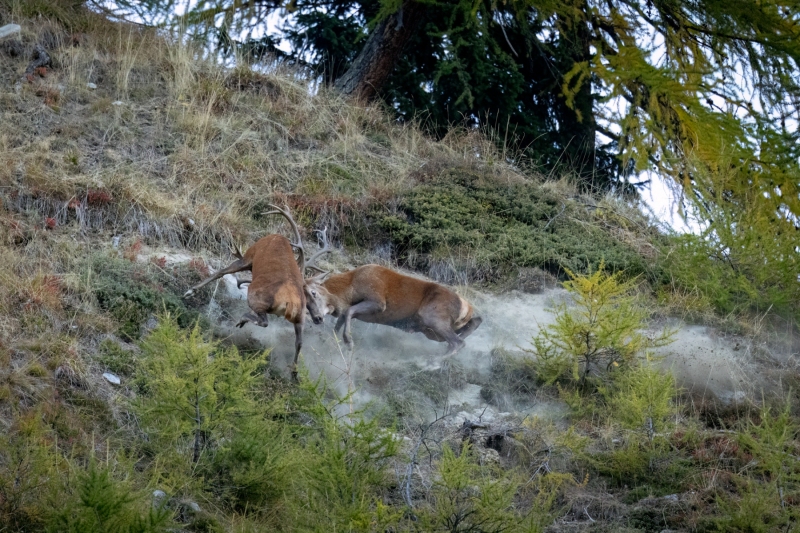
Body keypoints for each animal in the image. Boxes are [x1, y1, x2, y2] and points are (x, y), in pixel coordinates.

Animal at [182, 205, 331, 381]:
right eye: (313, 293)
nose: (319, 318)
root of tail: (289, 301)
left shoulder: (248, 257)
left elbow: (221, 272)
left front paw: (190, 291)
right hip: (299, 318)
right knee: (299, 342)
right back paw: (294, 373)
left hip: (256, 295)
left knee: (263, 320)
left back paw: (241, 320)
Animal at [303, 263, 482, 363]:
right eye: (306, 304)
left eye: (313, 293)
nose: (317, 318)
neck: (350, 289)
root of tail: (466, 306)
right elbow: (338, 323)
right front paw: (331, 343)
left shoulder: (378, 300)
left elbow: (348, 312)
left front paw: (349, 341)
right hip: (432, 331)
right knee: (470, 325)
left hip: (433, 318)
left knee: (458, 342)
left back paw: (430, 363)